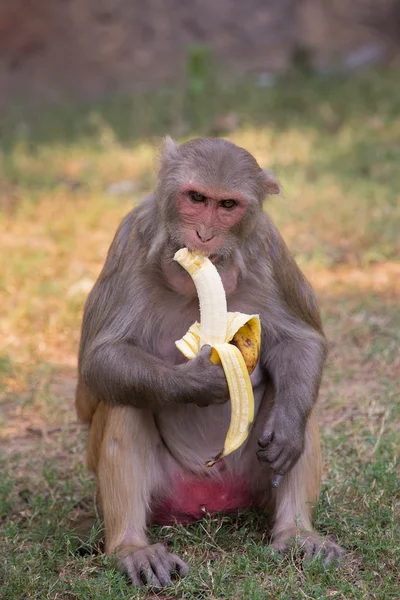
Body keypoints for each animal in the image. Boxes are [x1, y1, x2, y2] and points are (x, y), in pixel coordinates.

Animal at [76, 135, 344, 584]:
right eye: (196, 198)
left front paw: (288, 430)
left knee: (290, 394)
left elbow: (301, 340)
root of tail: (209, 502)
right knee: (124, 400)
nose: (203, 235)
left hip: (250, 481)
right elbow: (98, 362)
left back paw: (297, 533)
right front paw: (200, 380)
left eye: (228, 205)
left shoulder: (268, 244)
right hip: (166, 491)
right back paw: (132, 548)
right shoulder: (132, 236)